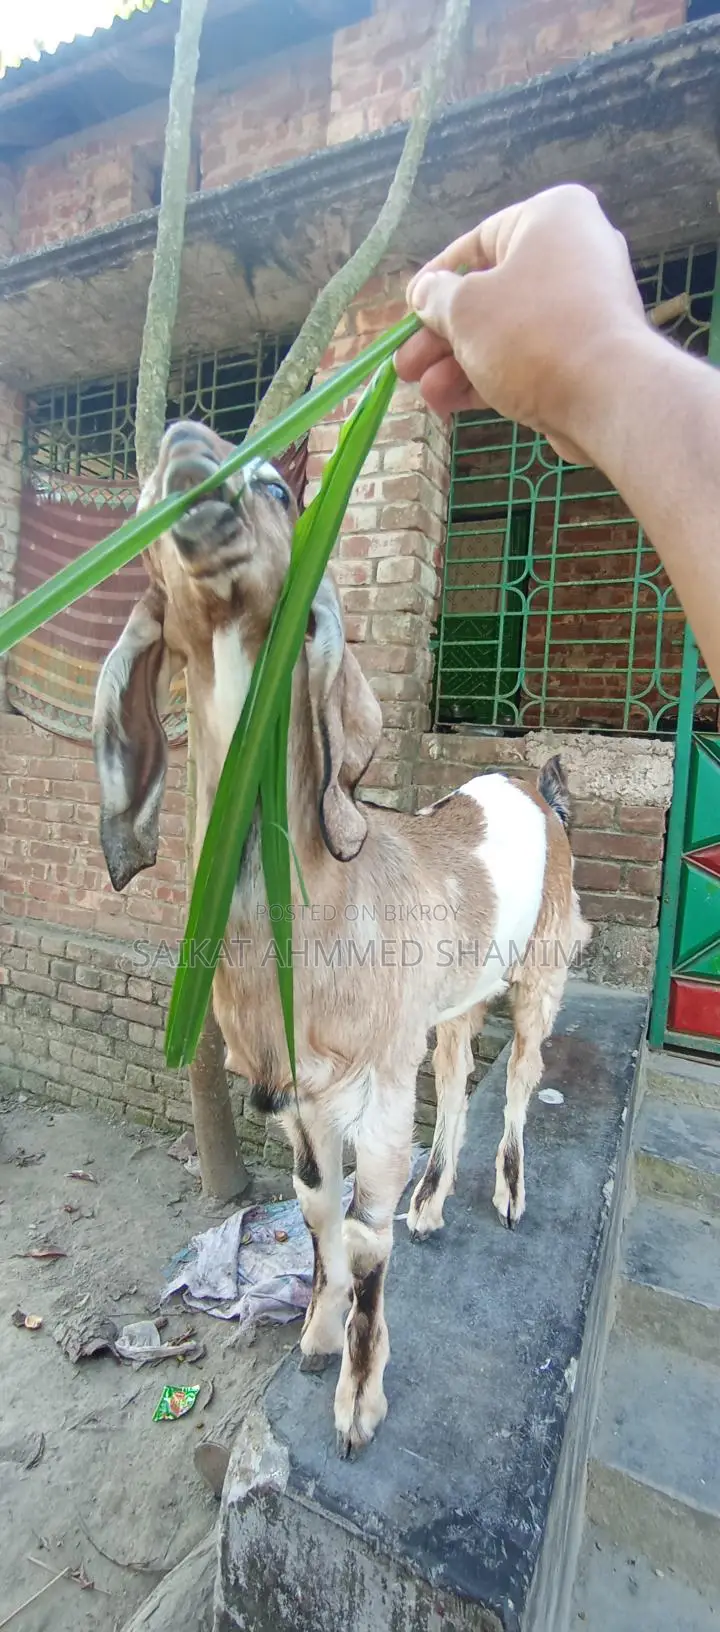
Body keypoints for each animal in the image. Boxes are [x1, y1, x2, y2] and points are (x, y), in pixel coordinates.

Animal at [93, 420, 591, 1456]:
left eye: (282, 489)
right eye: (147, 492)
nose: (186, 440)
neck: (321, 909)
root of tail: (537, 790)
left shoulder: (374, 1086)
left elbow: (363, 1234)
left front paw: (359, 1404)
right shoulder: (299, 1092)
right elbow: (318, 1206)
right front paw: (318, 1339)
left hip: (542, 968)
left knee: (521, 1076)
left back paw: (507, 1195)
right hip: (452, 1001)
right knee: (461, 1075)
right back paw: (435, 1206)